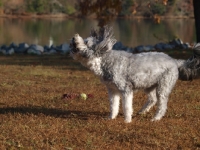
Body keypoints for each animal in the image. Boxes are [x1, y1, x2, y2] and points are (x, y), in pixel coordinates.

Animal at [70, 25, 200, 122]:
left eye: (86, 42)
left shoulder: (125, 89)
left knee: (162, 106)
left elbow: (126, 107)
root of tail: (174, 61)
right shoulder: (113, 91)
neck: (103, 60)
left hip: (163, 87)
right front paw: (111, 118)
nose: (73, 38)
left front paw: (127, 121)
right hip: (149, 85)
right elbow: (114, 106)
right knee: (152, 100)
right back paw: (142, 111)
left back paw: (156, 118)